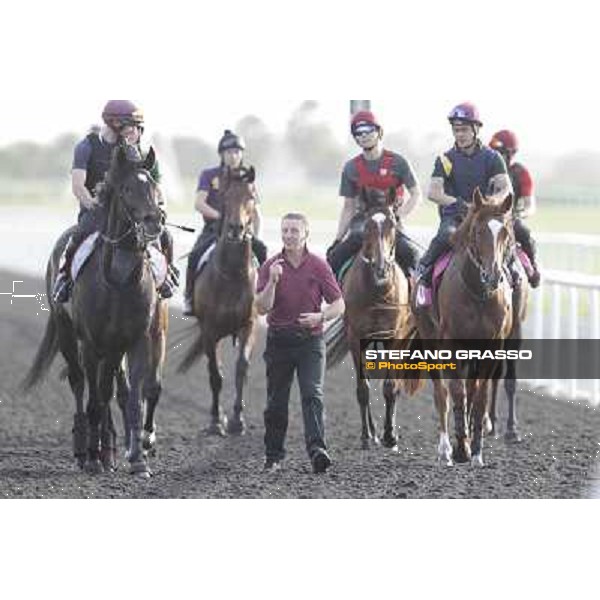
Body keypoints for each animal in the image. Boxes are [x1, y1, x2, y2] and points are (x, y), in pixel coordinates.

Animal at [23, 145, 168, 478]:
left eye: (154, 187)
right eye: (127, 189)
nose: (154, 221)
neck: (118, 281)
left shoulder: (137, 339)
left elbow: (132, 397)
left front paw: (137, 459)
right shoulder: (90, 342)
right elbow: (93, 399)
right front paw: (92, 457)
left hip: (113, 348)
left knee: (108, 389)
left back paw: (109, 449)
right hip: (67, 333)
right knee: (80, 385)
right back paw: (85, 449)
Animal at [176, 164, 255, 436]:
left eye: (250, 197)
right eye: (226, 197)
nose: (235, 228)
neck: (231, 275)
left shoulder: (247, 325)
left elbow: (241, 368)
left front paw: (238, 420)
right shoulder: (210, 330)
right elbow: (215, 374)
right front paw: (214, 421)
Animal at [326, 188, 420, 450]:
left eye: (392, 224)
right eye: (367, 225)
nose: (380, 266)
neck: (378, 291)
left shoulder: (395, 337)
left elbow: (390, 386)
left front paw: (390, 435)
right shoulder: (356, 337)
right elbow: (362, 388)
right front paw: (368, 436)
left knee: (394, 384)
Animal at [412, 190, 516, 466]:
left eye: (505, 232)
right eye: (479, 231)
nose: (493, 276)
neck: (477, 293)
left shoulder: (491, 346)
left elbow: (478, 398)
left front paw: (476, 451)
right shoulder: (452, 344)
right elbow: (456, 392)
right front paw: (460, 448)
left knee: (471, 389)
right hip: (429, 340)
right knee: (441, 394)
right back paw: (445, 449)